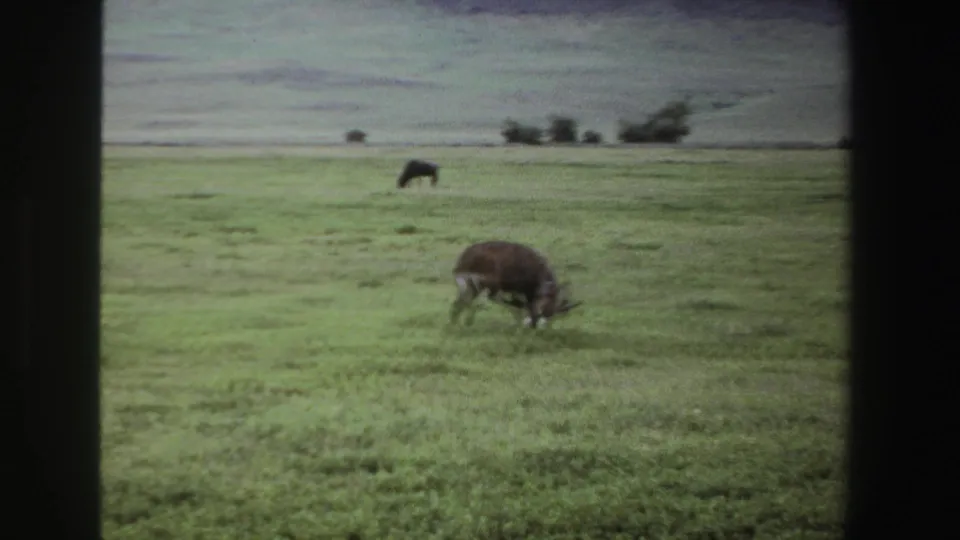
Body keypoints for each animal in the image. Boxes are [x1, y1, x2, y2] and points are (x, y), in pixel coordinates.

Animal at [449, 240, 581, 328]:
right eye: (544, 310)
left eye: (552, 315)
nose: (540, 327)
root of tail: (465, 257)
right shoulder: (513, 292)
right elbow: (519, 307)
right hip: (481, 287)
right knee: (466, 304)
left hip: (470, 287)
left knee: (460, 304)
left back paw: (459, 324)